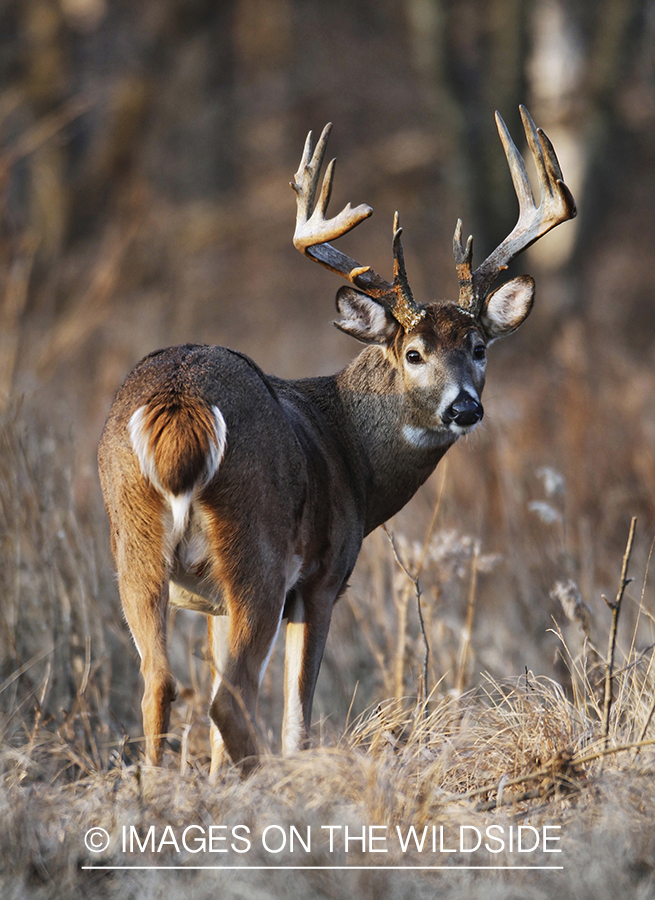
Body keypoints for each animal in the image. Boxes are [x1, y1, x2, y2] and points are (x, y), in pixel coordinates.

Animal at [96, 107, 576, 772]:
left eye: (479, 347)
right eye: (413, 352)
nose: (465, 408)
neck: (352, 455)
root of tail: (182, 400)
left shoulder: (212, 602)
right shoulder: (323, 578)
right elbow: (297, 721)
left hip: (135, 543)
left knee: (159, 684)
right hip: (257, 547)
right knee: (230, 700)